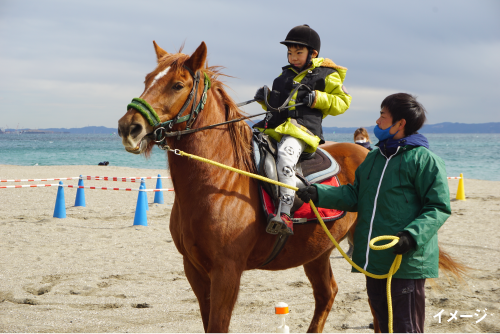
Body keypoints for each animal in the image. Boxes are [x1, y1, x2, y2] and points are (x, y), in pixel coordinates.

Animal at [118, 41, 464, 334]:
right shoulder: (194, 270)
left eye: (177, 85)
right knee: (328, 294)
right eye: (147, 79)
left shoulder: (226, 272)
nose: (128, 127)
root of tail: (370, 151)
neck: (218, 181)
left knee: (377, 307)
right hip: (319, 251)